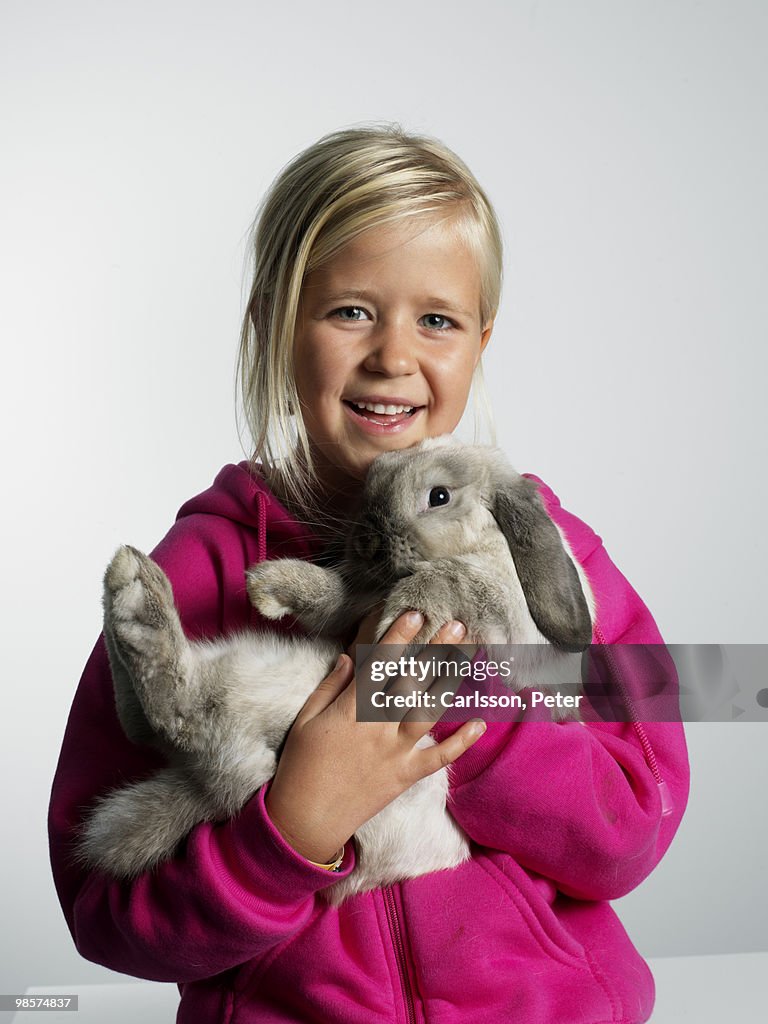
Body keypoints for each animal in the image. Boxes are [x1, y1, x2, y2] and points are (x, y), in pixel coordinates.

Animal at [78, 434, 593, 905]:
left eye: (439, 497)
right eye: (369, 489)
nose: (365, 541)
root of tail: (207, 787)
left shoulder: (499, 606)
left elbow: (452, 577)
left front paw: (408, 616)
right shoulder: (353, 603)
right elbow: (333, 595)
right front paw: (270, 586)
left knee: (179, 712)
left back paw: (134, 592)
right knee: (152, 719)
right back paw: (130, 578)